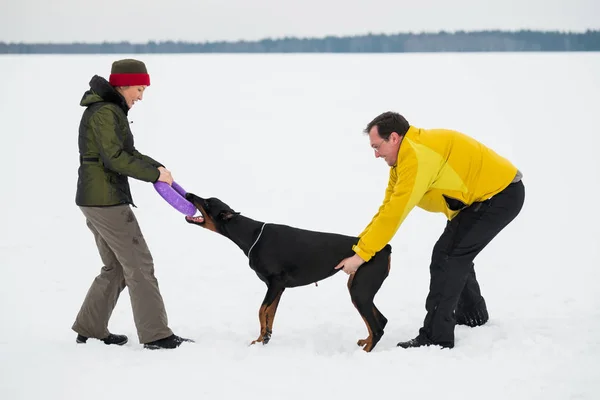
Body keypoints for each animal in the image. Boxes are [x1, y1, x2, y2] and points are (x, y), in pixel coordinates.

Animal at [183, 194, 392, 354]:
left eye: (207, 203)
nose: (188, 194)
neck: (252, 235)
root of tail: (385, 249)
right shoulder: (278, 287)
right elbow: (270, 313)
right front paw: (264, 338)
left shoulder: (275, 282)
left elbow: (261, 310)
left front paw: (261, 338)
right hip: (358, 288)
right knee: (381, 321)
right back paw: (365, 341)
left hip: (359, 290)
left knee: (377, 328)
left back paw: (365, 352)